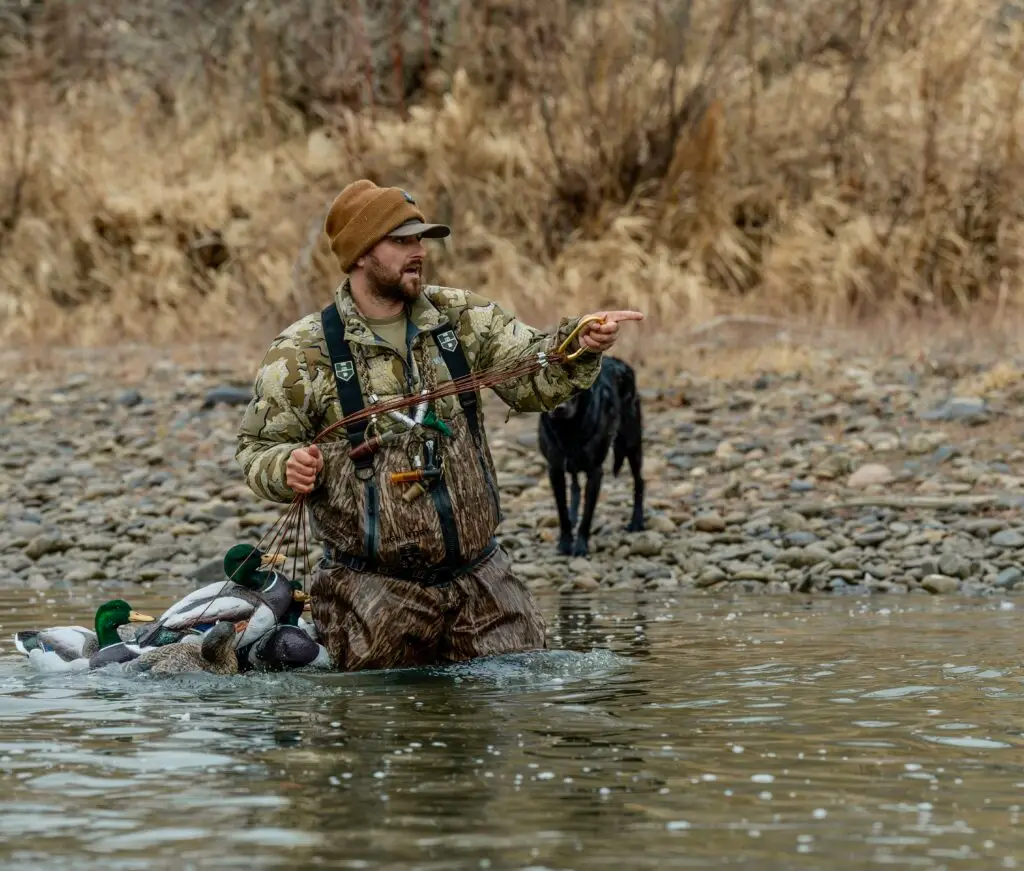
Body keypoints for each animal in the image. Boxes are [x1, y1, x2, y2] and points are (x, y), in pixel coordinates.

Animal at [540, 356, 643, 556]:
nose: (559, 408)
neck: (567, 429)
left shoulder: (595, 472)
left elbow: (587, 514)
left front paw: (580, 546)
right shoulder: (555, 470)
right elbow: (562, 510)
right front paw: (565, 543)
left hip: (632, 445)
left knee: (640, 482)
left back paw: (637, 522)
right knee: (575, 486)